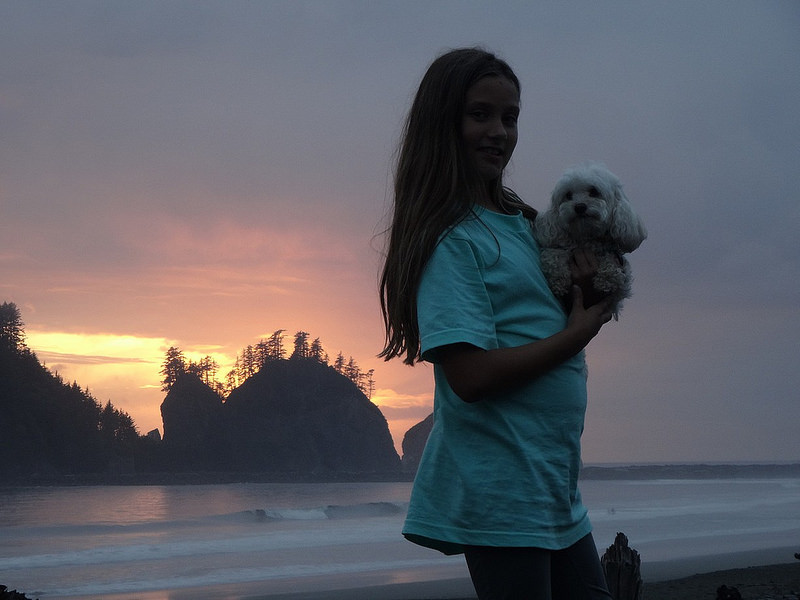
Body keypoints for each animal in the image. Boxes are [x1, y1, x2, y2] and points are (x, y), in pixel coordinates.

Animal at [536, 162, 648, 316]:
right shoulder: (559, 246)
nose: (579, 206)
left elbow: (610, 262)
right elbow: (553, 255)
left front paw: (606, 279)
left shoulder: (621, 279)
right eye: (568, 195)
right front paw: (558, 280)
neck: (587, 237)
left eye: (594, 191)